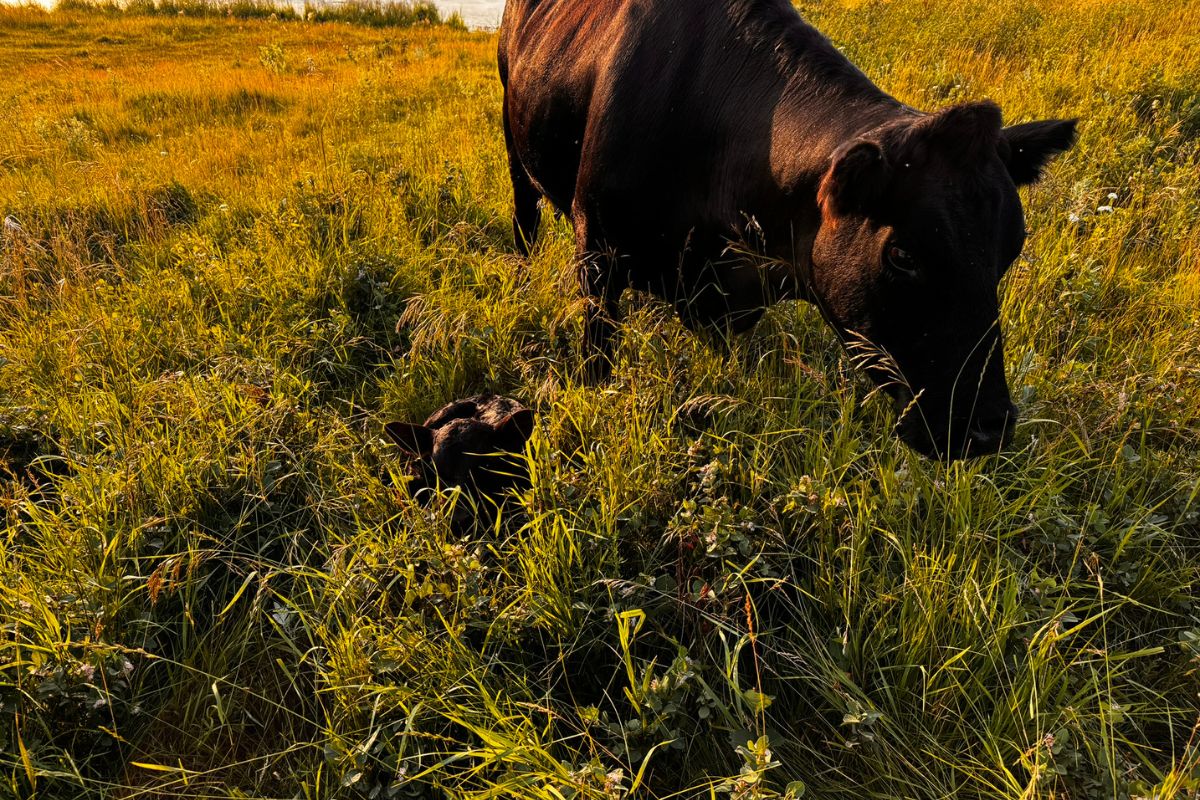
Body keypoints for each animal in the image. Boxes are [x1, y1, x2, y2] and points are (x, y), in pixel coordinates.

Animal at [498, 0, 1077, 460]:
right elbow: (598, 365)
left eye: (1011, 250)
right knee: (525, 213)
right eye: (902, 255)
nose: (988, 428)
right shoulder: (596, 251)